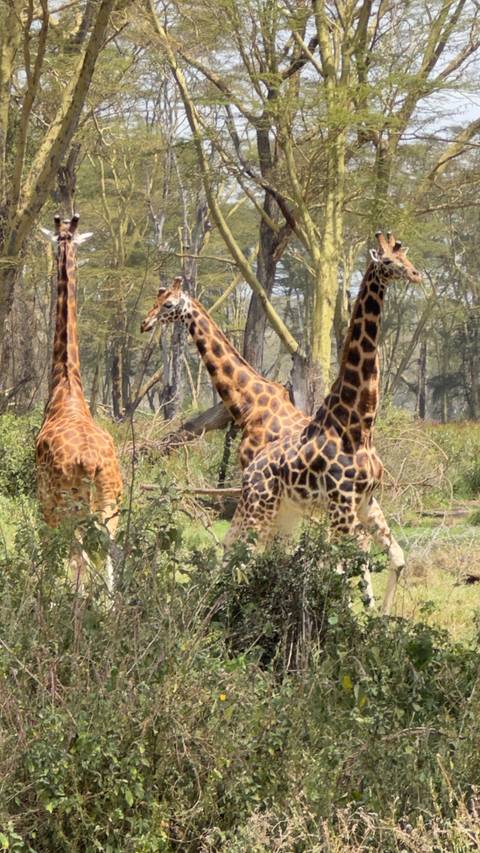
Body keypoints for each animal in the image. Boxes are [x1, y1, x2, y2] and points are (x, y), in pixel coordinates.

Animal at [224, 232, 422, 614]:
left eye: (406, 257)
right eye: (389, 262)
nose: (417, 274)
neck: (359, 425)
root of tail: (249, 472)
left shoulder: (366, 501)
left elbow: (396, 557)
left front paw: (383, 617)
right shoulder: (343, 503)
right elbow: (342, 570)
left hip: (283, 512)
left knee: (249, 554)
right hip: (261, 509)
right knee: (242, 553)